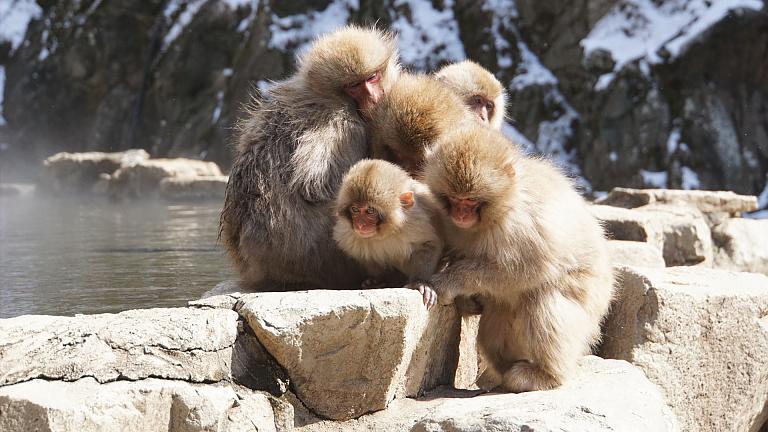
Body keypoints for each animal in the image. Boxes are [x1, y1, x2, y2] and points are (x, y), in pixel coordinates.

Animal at [332, 159, 443, 308]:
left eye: (370, 211)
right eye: (355, 209)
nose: (360, 225)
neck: (386, 232)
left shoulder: (416, 221)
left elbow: (428, 244)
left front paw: (420, 282)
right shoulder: (347, 233)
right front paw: (378, 281)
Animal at [423, 126, 615, 392]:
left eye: (470, 200)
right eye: (454, 199)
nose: (461, 215)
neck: (502, 207)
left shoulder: (521, 226)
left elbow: (524, 269)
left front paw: (449, 281)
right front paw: (466, 300)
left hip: (589, 290)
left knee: (543, 299)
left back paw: (546, 375)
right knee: (499, 314)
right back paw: (502, 367)